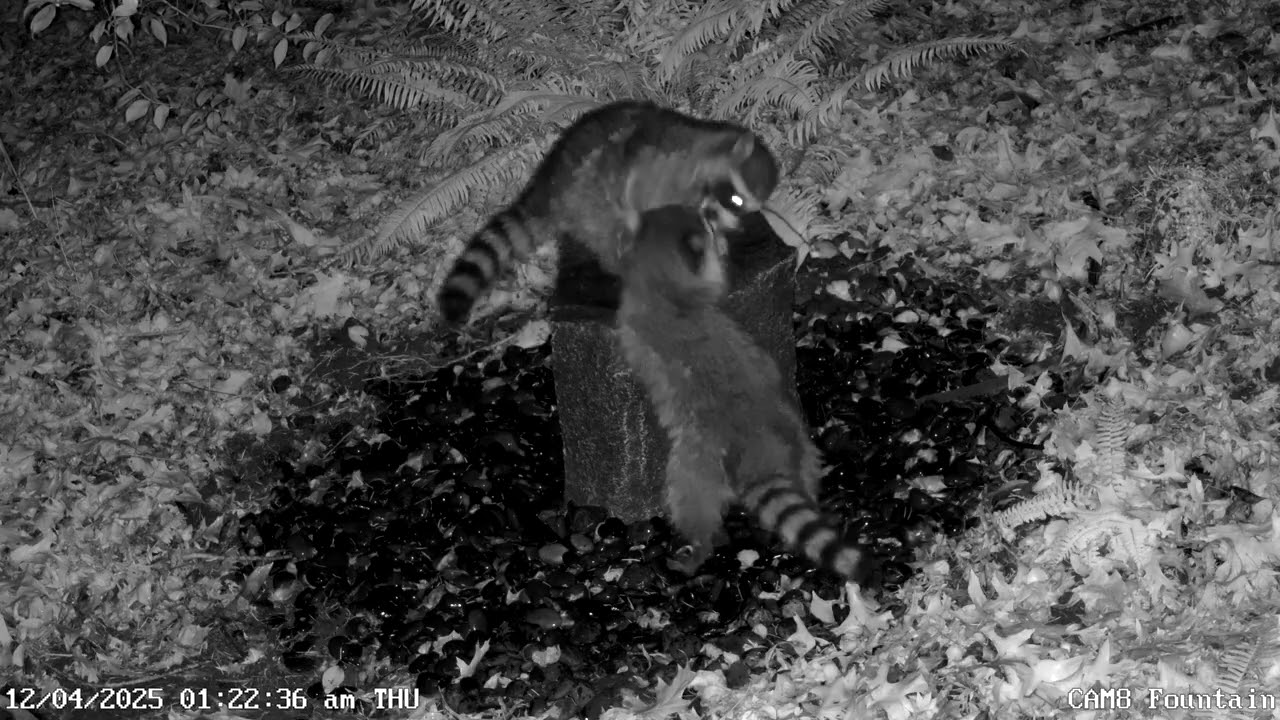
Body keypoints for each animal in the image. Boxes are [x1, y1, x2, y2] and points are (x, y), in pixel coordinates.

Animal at [437, 100, 779, 324]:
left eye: (747, 207)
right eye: (735, 199)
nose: (739, 227)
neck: (706, 148)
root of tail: (548, 186)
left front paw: (717, 237)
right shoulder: (663, 173)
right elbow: (647, 203)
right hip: (587, 199)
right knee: (612, 227)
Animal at [617, 205, 867, 580]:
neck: (662, 277)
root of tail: (760, 447)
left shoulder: (638, 317)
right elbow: (715, 284)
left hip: (698, 461)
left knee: (691, 498)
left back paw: (698, 547)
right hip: (796, 436)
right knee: (805, 472)